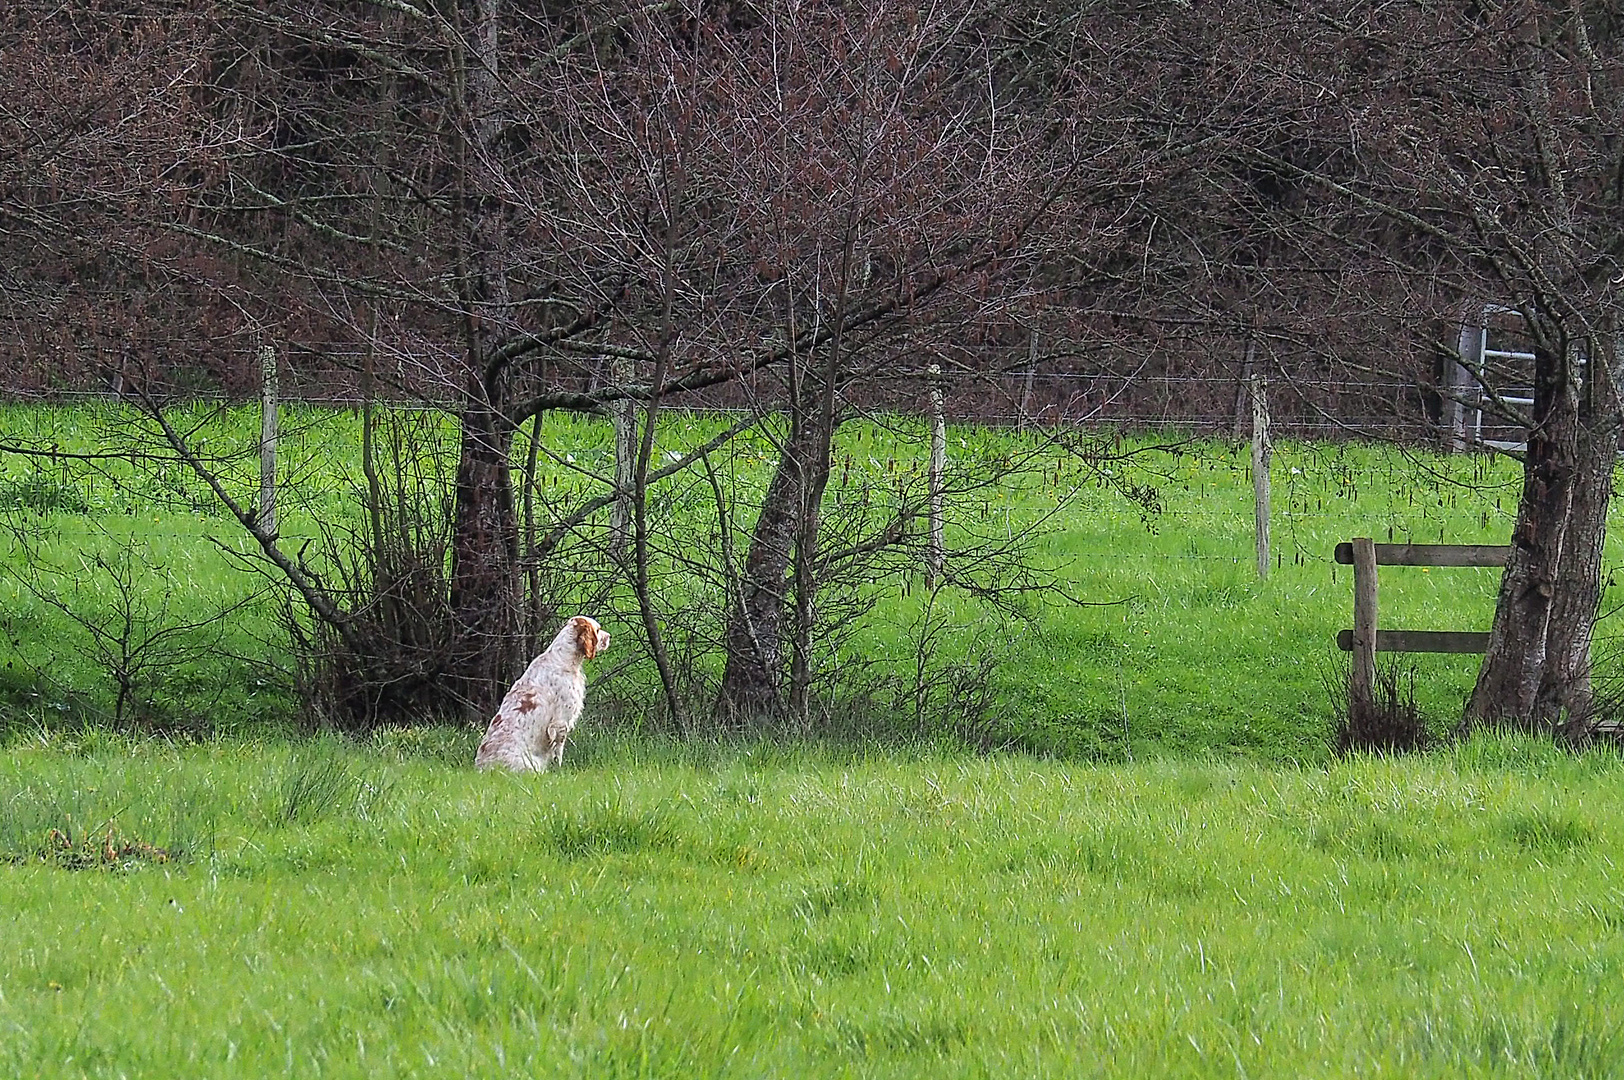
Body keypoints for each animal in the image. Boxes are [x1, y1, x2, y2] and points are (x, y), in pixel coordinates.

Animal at [480, 610, 613, 769]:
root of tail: (482, 767)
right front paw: (559, 769)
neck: (564, 659)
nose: (609, 636)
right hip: (531, 764)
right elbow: (558, 750)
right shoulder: (561, 721)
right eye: (598, 630)